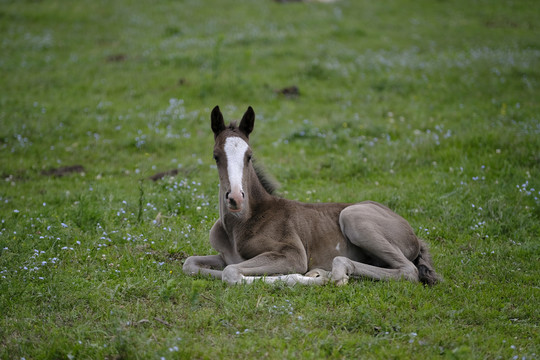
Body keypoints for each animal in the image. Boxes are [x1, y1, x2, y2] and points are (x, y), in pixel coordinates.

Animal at [184, 105, 440, 286]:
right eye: (216, 156)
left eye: (249, 156)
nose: (236, 198)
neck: (240, 224)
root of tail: (415, 236)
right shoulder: (225, 256)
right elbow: (191, 264)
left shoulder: (293, 255)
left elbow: (231, 272)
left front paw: (309, 279)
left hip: (353, 216)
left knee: (408, 270)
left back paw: (335, 272)